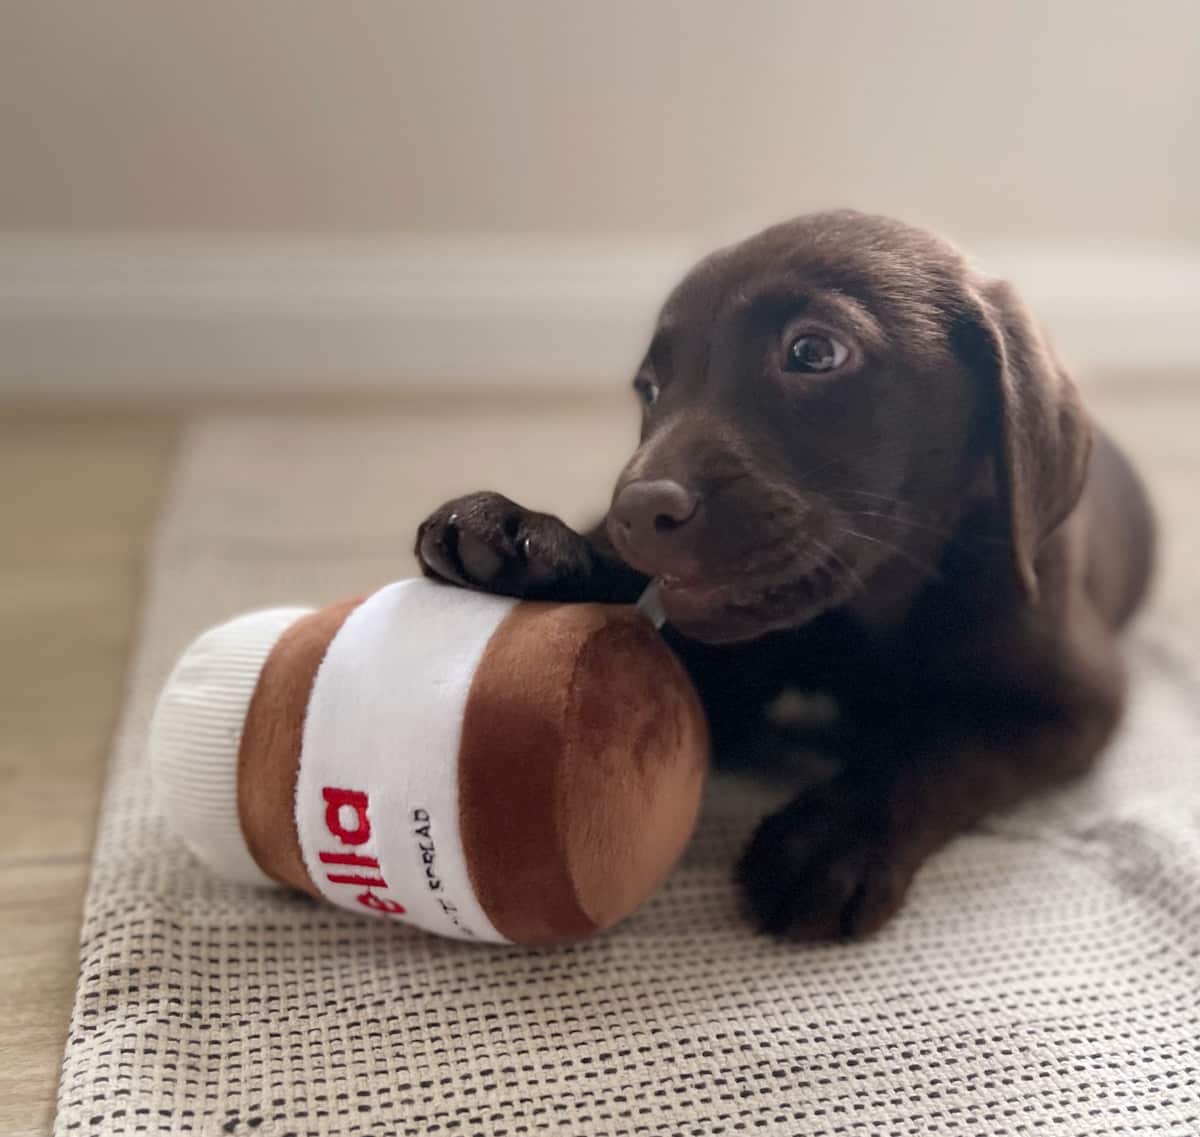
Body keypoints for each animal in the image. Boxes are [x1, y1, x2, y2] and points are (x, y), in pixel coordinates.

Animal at [415, 210, 1157, 940]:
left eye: (814, 353)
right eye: (650, 390)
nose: (633, 513)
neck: (861, 615)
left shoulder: (1070, 702)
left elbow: (946, 747)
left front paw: (837, 837)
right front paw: (534, 542)